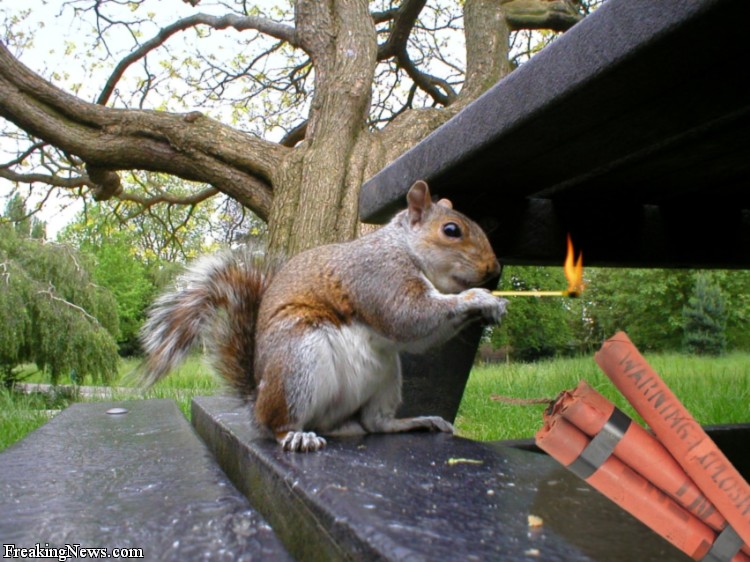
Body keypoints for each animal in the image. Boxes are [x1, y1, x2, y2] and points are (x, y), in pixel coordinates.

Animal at [140, 180, 507, 452]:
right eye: (451, 230)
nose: (494, 269)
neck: (402, 246)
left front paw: (489, 305)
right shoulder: (378, 275)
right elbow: (407, 316)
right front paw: (478, 298)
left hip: (387, 376)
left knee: (376, 423)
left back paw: (416, 422)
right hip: (296, 361)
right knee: (278, 424)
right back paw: (294, 435)